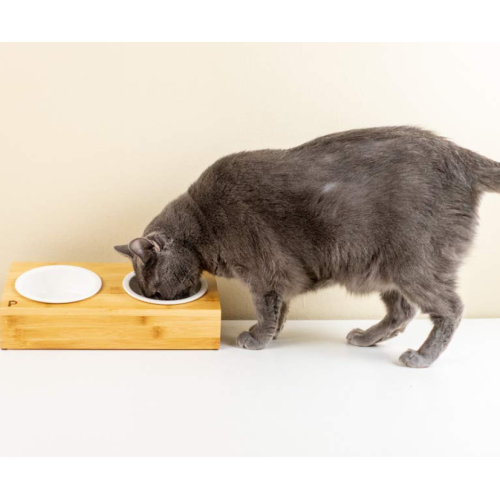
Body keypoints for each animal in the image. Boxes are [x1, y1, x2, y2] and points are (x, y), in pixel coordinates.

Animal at [114, 125, 500, 368]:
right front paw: (274, 334)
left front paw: (257, 338)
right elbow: (280, 308)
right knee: (402, 311)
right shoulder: (279, 276)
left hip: (414, 263)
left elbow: (265, 307)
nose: (164, 301)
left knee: (450, 308)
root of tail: (461, 157)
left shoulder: (265, 271)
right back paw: (366, 338)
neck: (203, 224)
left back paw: (422, 357)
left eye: (156, 290)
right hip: (383, 267)